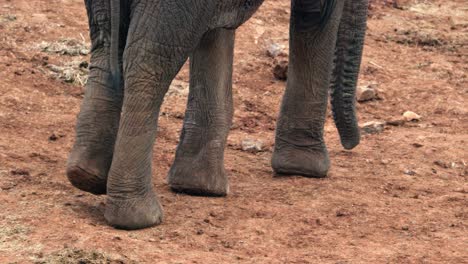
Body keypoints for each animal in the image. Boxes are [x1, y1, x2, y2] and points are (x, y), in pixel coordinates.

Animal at [66, 0, 370, 230]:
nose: (351, 143)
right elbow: (316, 13)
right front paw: (306, 167)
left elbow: (216, 28)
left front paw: (199, 186)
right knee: (148, 63)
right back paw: (140, 218)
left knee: (105, 43)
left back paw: (87, 175)